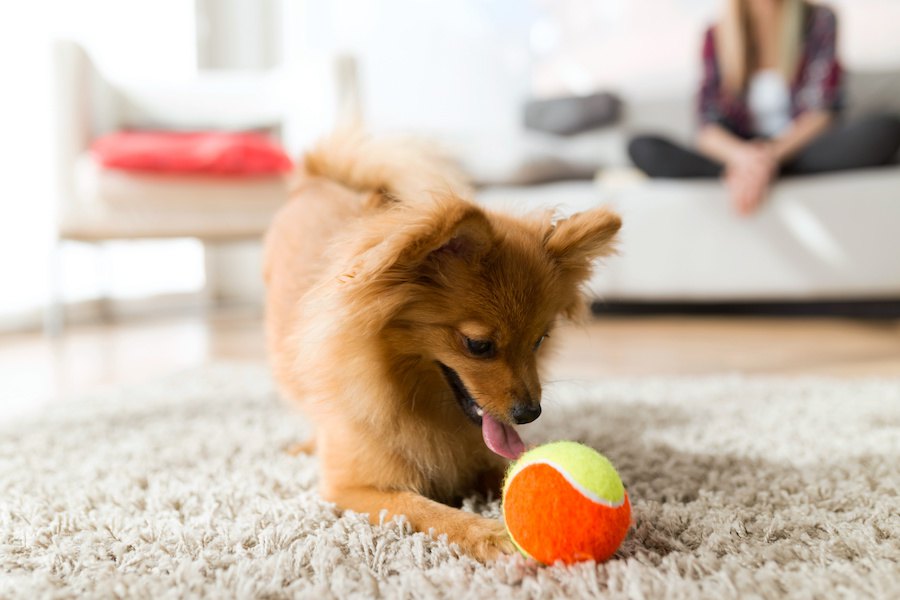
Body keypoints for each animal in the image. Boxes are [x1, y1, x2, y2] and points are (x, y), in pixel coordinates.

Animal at [264, 131, 624, 564]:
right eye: (478, 345)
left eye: (539, 341)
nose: (530, 413)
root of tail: (318, 178)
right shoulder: (353, 489)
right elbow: (426, 510)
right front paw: (492, 535)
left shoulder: (483, 454)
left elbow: (512, 466)